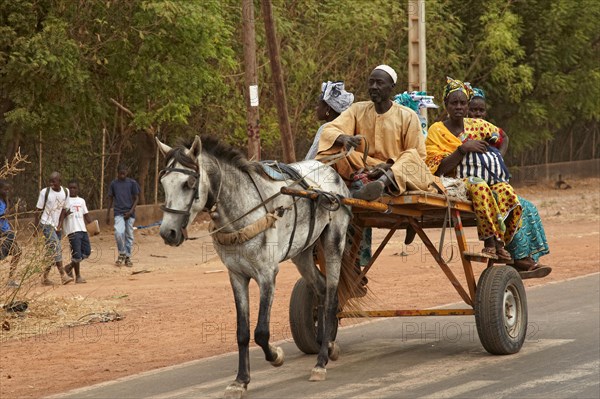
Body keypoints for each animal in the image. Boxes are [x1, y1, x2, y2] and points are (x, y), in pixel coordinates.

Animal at [157, 136, 352, 398]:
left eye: (189, 183)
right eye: (163, 183)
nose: (167, 233)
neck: (242, 211)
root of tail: (331, 171)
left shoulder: (267, 274)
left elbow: (261, 332)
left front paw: (276, 355)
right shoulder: (237, 276)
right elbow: (242, 332)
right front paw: (240, 381)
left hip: (333, 242)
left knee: (331, 298)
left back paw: (320, 363)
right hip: (302, 252)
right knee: (320, 290)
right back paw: (328, 344)